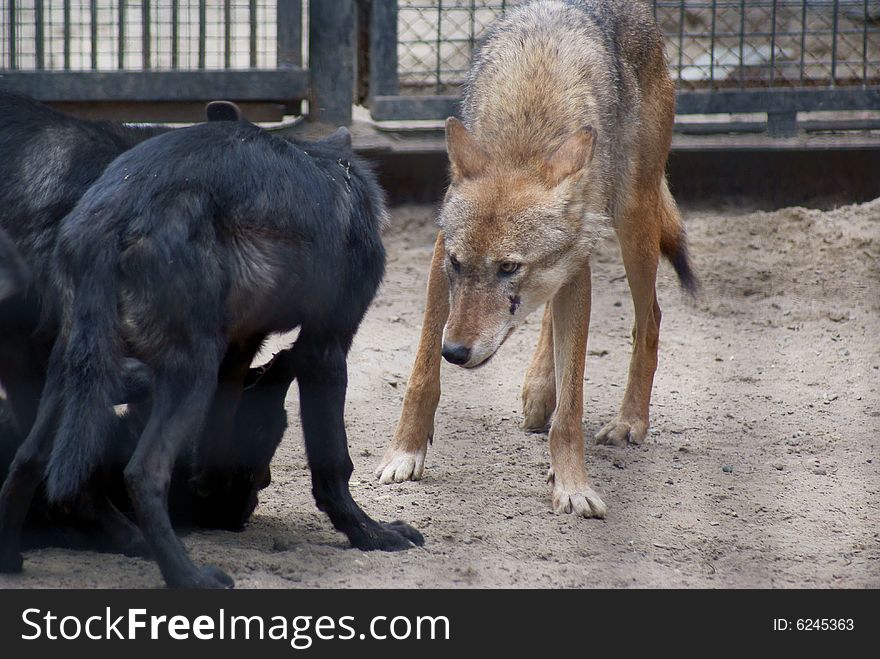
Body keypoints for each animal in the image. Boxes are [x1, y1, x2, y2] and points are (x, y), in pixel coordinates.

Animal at [0, 118, 422, 588]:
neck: (336, 170)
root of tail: (110, 219)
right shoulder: (325, 349)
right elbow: (333, 463)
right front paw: (369, 533)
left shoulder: (239, 348)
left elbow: (223, 432)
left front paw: (216, 484)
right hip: (188, 376)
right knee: (142, 473)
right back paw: (188, 576)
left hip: (68, 372)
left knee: (28, 458)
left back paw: (13, 560)